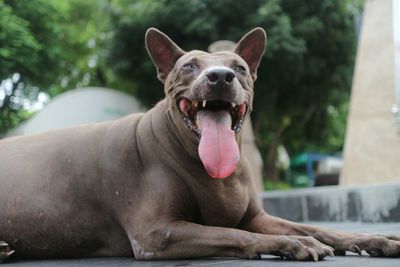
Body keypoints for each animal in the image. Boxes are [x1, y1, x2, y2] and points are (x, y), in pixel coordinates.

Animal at [0, 28, 400, 262]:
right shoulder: (156, 233)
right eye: (189, 66)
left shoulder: (259, 217)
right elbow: (233, 232)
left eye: (239, 67)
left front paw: (375, 239)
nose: (219, 76)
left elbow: (315, 227)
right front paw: (293, 246)